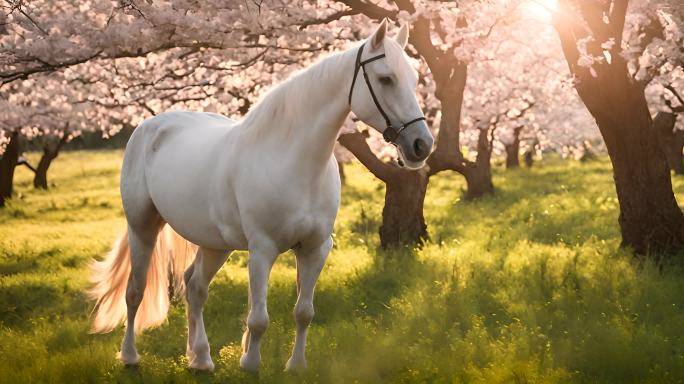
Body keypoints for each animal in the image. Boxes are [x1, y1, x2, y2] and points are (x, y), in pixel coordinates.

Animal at [89, 20, 432, 372]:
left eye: (415, 80)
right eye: (386, 78)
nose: (421, 145)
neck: (292, 160)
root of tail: (150, 126)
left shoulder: (316, 248)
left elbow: (304, 312)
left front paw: (296, 366)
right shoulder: (262, 249)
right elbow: (258, 319)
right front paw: (250, 364)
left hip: (215, 243)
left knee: (195, 288)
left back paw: (201, 359)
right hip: (142, 226)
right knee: (135, 290)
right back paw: (130, 356)